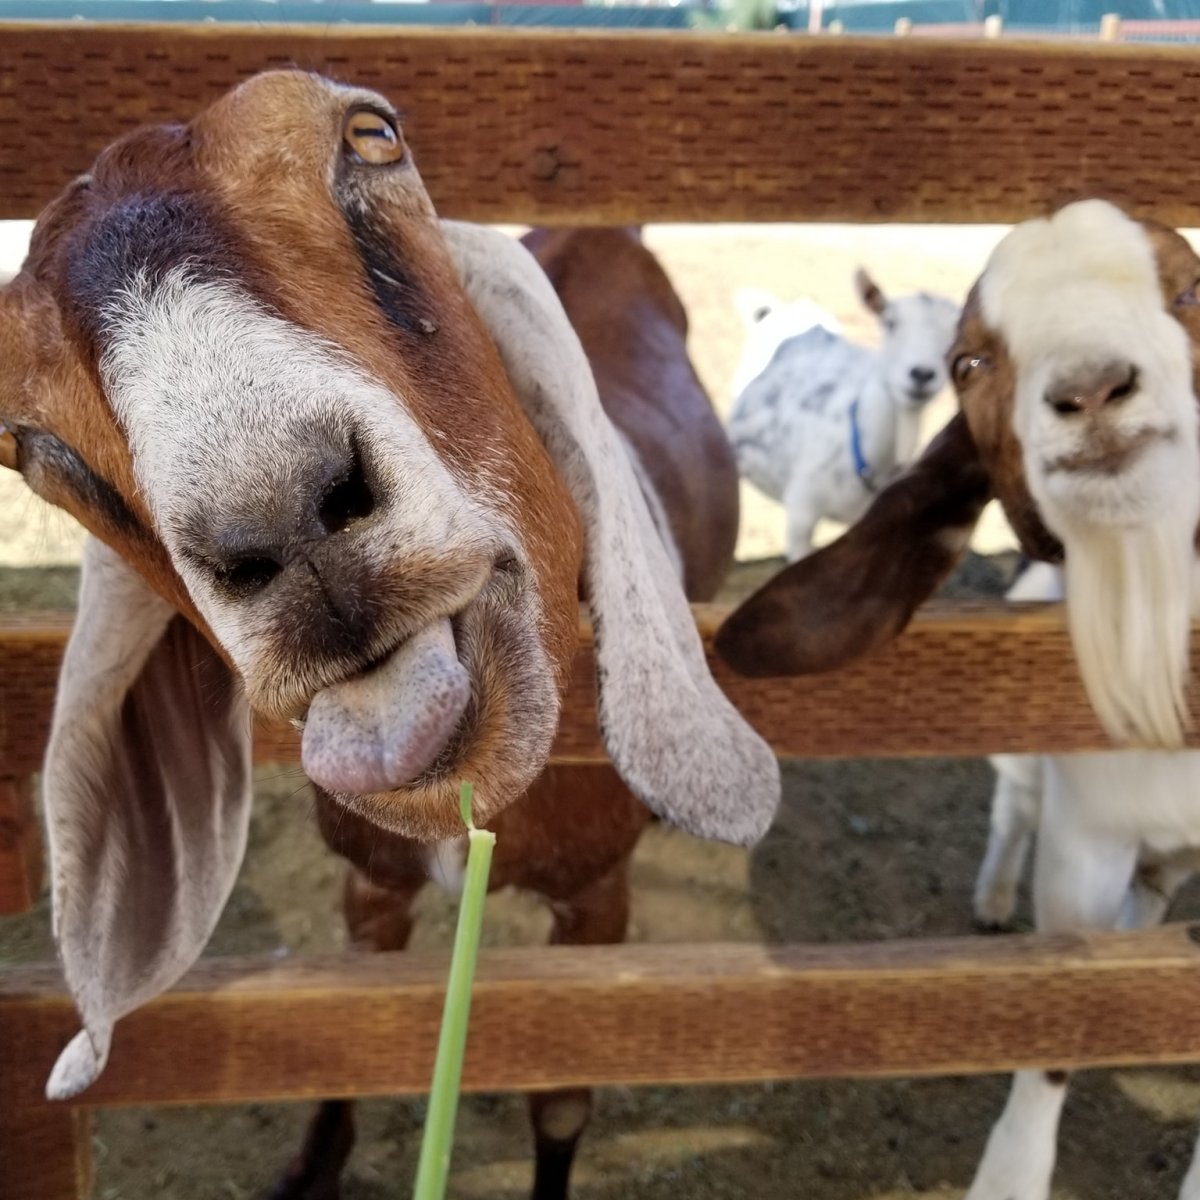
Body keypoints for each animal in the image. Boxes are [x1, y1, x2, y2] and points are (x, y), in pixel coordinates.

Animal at [0, 72, 778, 1199]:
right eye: (21, 439)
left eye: (372, 135)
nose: (279, 512)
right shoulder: (369, 882)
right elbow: (349, 1048)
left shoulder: (599, 905)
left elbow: (563, 1094)